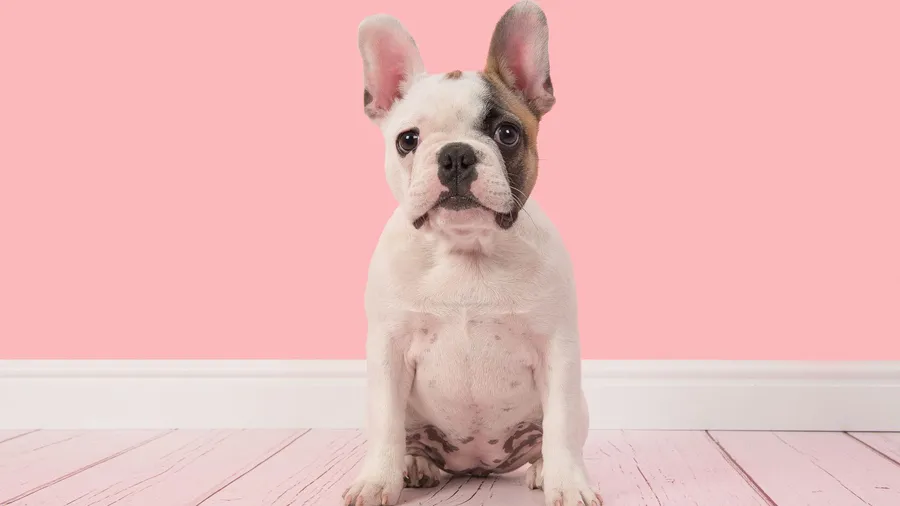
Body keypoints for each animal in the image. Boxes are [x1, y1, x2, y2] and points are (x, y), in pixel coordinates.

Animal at [344, 2, 600, 505]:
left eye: (507, 133)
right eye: (407, 140)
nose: (457, 155)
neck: (466, 250)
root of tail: (476, 466)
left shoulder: (557, 350)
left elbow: (560, 428)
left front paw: (569, 484)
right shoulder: (388, 349)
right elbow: (385, 426)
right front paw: (376, 481)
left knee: (554, 436)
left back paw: (544, 470)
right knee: (408, 438)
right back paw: (415, 465)